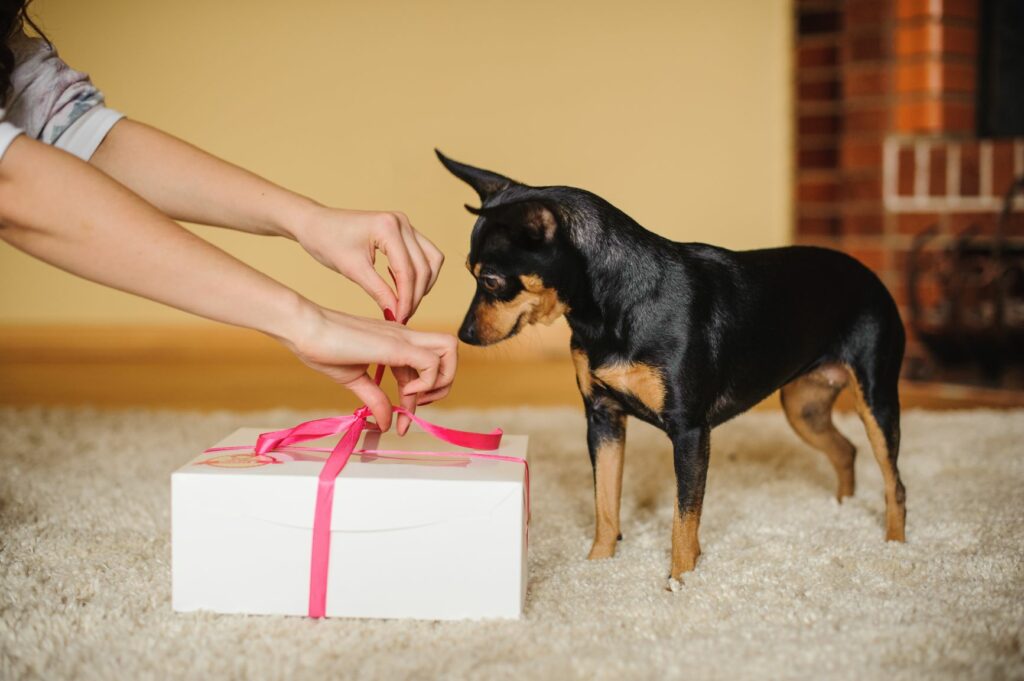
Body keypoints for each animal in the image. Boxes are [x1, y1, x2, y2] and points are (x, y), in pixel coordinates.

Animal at [436, 151, 909, 581]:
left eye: (491, 280)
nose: (464, 334)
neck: (613, 307)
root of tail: (871, 276)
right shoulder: (604, 420)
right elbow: (605, 503)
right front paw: (598, 567)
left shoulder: (689, 431)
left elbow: (683, 521)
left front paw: (680, 582)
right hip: (803, 407)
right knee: (845, 450)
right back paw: (843, 509)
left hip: (875, 400)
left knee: (895, 482)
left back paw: (894, 546)